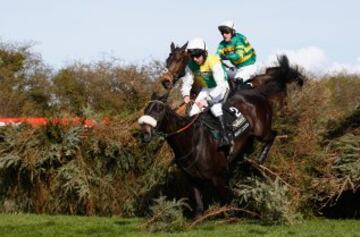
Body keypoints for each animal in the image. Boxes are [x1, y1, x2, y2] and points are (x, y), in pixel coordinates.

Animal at [138, 88, 276, 216]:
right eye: (145, 110)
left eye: (159, 109)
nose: (145, 134)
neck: (192, 142)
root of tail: (258, 94)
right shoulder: (192, 178)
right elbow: (199, 204)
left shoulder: (217, 177)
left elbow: (227, 199)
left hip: (261, 132)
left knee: (273, 134)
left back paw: (262, 157)